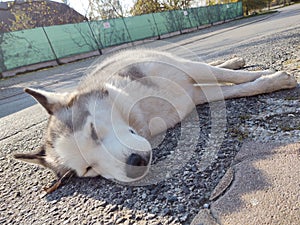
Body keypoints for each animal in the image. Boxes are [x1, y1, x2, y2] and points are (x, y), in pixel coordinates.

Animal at [13, 48, 296, 183]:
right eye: (88, 169)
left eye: (93, 130)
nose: (135, 163)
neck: (140, 111)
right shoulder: (194, 97)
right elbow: (234, 89)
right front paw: (268, 81)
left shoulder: (183, 70)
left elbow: (235, 78)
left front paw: (271, 77)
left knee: (211, 67)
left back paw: (234, 61)